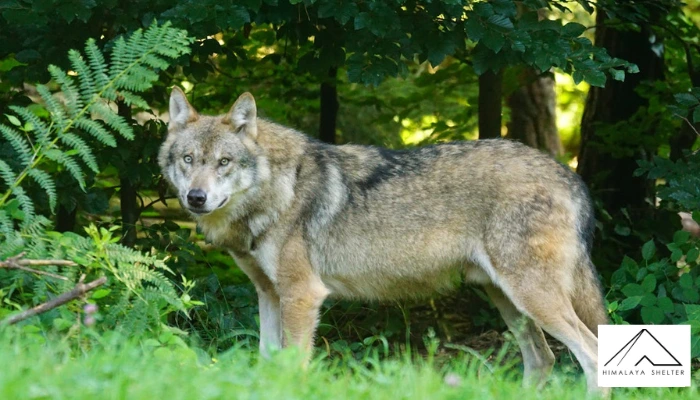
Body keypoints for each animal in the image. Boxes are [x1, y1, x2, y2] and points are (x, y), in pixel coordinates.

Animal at [159, 87, 609, 392]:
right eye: (188, 160)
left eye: (224, 162)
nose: (195, 197)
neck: (277, 189)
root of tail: (569, 175)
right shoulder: (268, 294)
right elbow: (268, 363)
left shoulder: (302, 296)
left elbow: (293, 366)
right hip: (509, 302)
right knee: (542, 360)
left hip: (532, 298)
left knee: (590, 354)